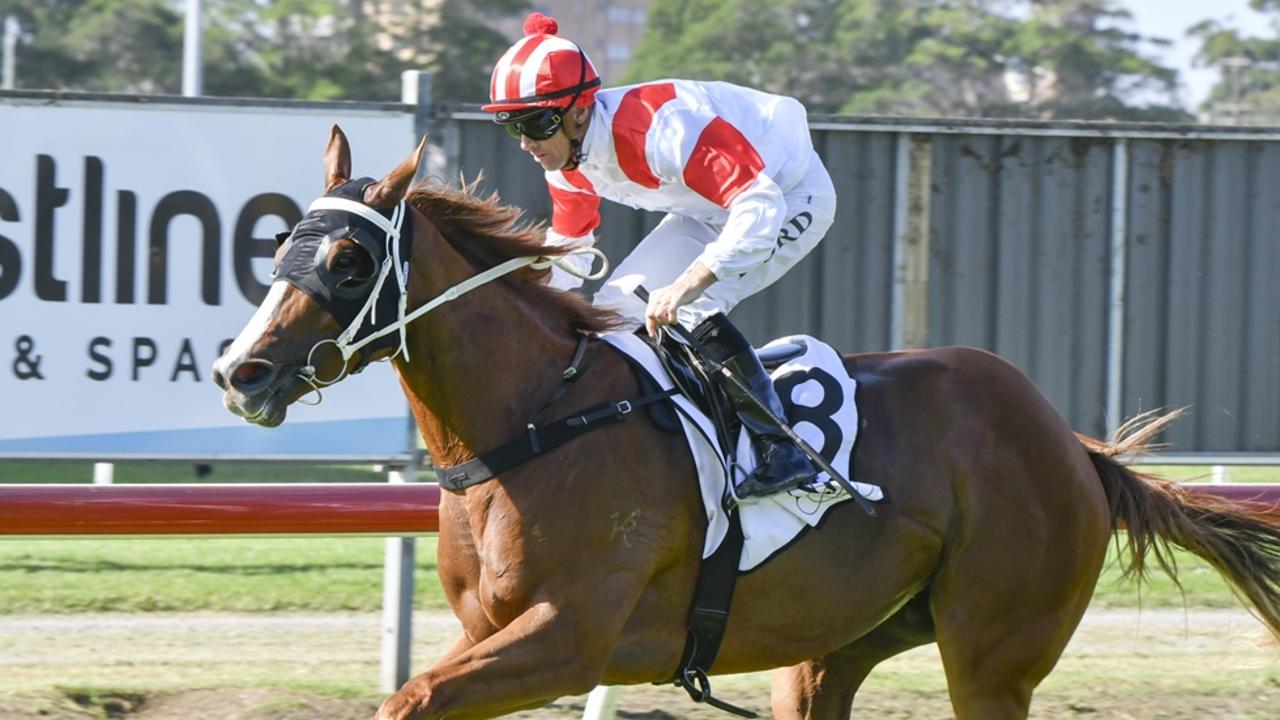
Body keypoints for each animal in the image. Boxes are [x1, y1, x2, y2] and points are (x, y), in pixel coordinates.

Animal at [212, 126, 1280, 720]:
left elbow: (410, 698)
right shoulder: (492, 635)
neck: (535, 418)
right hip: (834, 649)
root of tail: (1073, 446)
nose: (240, 371)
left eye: (349, 260)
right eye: (282, 243)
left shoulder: (568, 637)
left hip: (993, 660)